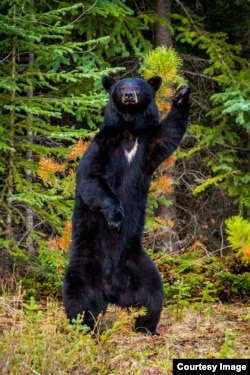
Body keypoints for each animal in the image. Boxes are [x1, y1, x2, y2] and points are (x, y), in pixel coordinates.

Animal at [62, 75, 189, 334]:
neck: (129, 132)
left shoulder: (147, 146)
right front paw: (116, 216)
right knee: (80, 301)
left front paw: (182, 94)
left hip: (138, 265)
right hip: (84, 266)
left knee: (153, 296)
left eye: (138, 86)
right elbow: (91, 179)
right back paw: (84, 329)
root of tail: (112, 289)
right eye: (122, 87)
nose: (129, 96)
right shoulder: (102, 147)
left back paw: (147, 327)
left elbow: (168, 134)